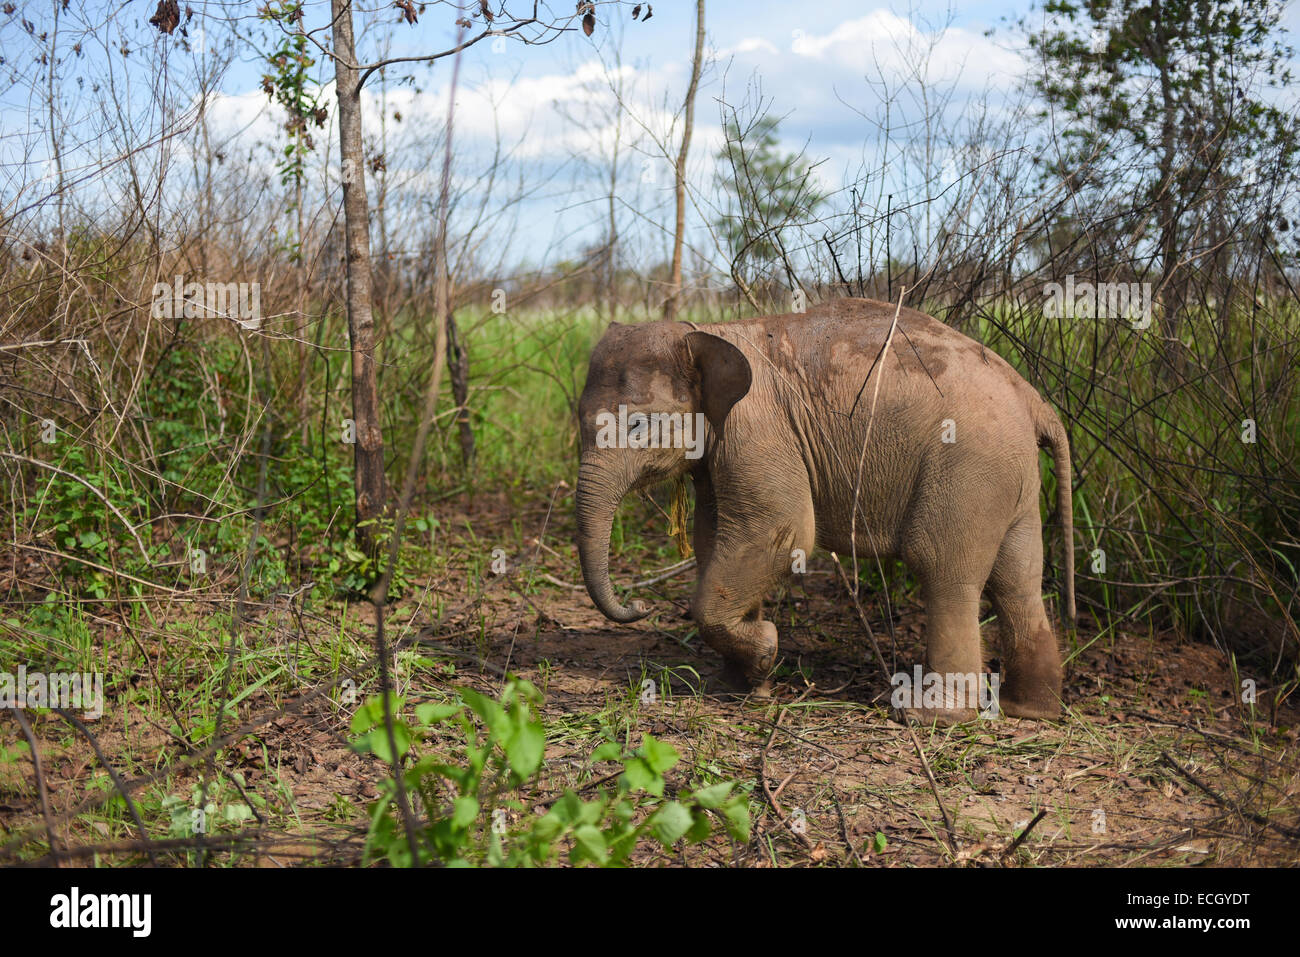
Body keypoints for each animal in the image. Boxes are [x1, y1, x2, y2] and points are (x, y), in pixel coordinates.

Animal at [579, 297, 1076, 717]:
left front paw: (765, 651)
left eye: (638, 425)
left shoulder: (759, 429)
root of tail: (1034, 399)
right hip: (1012, 478)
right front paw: (740, 684)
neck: (709, 331)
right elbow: (713, 534)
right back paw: (1029, 710)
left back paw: (931, 716)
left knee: (943, 568)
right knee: (1017, 580)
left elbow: (782, 530)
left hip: (968, 467)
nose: (639, 604)